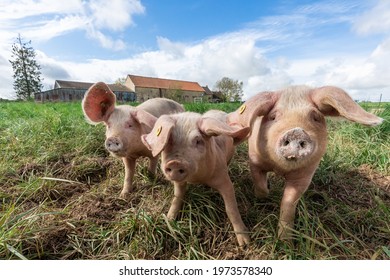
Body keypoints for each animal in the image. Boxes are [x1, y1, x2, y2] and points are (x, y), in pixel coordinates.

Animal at [142, 110, 251, 246]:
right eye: (169, 140)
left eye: (198, 141)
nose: (175, 163)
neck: (197, 179)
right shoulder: (179, 183)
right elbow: (176, 198)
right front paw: (169, 220)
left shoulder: (224, 180)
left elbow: (231, 209)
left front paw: (245, 243)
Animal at [229, 86, 384, 241]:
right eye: (273, 117)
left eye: (315, 117)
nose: (296, 131)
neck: (280, 169)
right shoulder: (255, 161)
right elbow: (260, 186)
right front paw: (265, 195)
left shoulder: (305, 175)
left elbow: (289, 202)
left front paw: (285, 241)